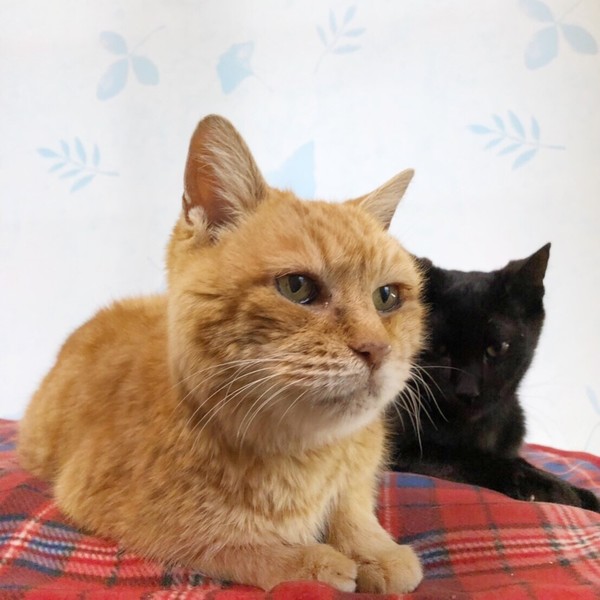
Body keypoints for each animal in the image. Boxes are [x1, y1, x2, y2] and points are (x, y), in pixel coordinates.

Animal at [18, 115, 426, 593]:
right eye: (297, 287)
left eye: (386, 297)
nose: (377, 348)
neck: (303, 453)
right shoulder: (106, 504)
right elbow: (223, 540)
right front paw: (308, 559)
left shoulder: (358, 473)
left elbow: (353, 507)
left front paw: (372, 548)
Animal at [389, 244, 600, 512]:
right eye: (438, 348)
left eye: (498, 348)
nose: (467, 391)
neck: (479, 429)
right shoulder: (401, 449)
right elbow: (469, 459)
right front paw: (545, 487)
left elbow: (520, 460)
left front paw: (582, 494)